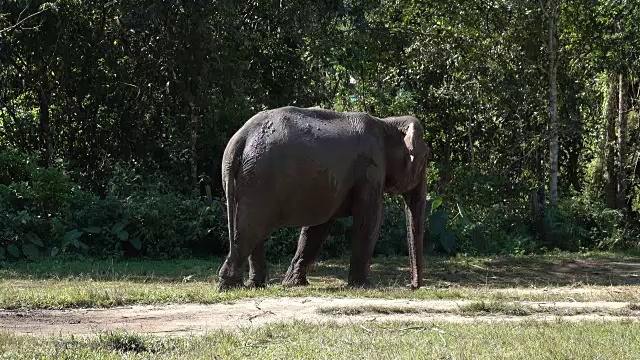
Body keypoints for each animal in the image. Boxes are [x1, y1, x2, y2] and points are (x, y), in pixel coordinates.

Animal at [218, 105, 432, 292]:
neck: (387, 123)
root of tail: (240, 138)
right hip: (259, 180)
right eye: (424, 159)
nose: (412, 286)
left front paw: (294, 284)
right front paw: (363, 286)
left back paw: (254, 285)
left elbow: (318, 227)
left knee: (251, 230)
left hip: (248, 180)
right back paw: (229, 286)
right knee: (250, 229)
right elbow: (370, 219)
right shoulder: (371, 169)